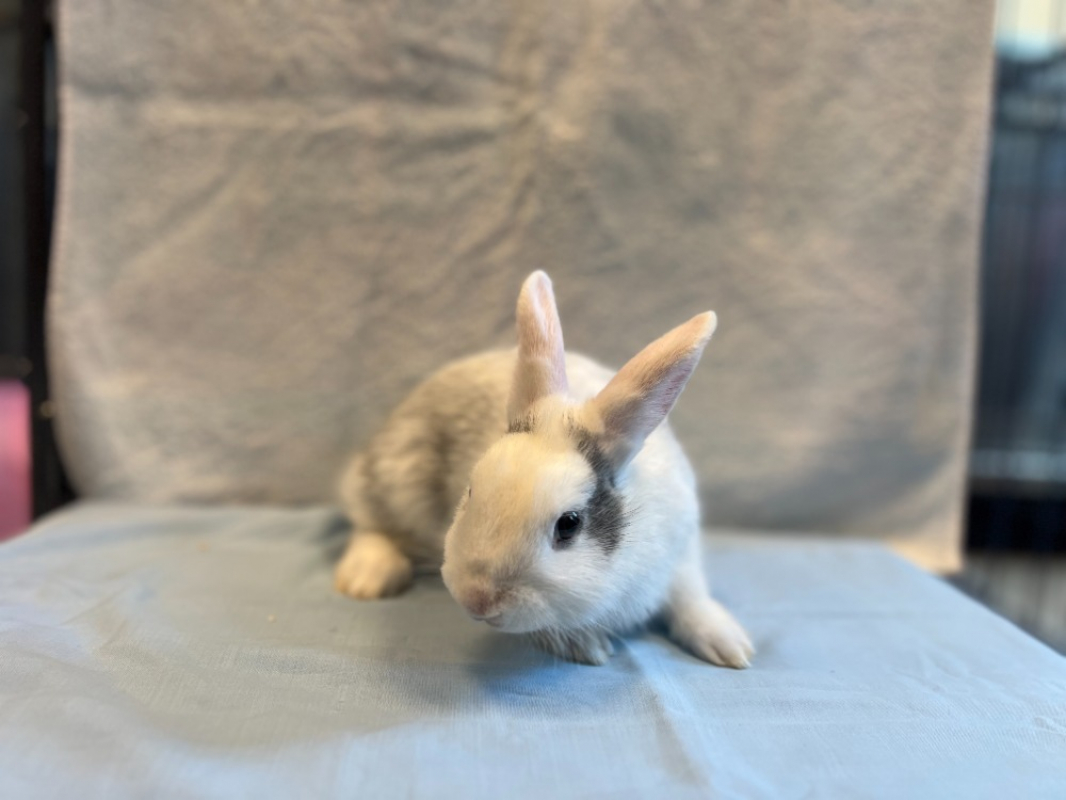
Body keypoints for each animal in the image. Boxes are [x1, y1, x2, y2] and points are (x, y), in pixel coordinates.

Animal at [335, 271, 753, 668]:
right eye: (470, 491)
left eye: (568, 524)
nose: (476, 600)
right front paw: (584, 645)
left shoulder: (681, 556)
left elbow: (691, 599)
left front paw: (732, 646)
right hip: (397, 477)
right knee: (369, 520)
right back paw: (365, 579)